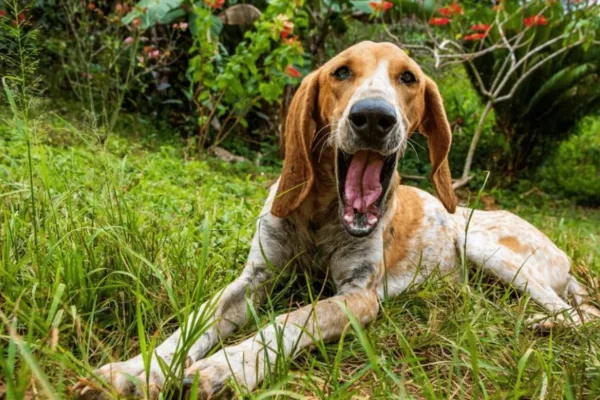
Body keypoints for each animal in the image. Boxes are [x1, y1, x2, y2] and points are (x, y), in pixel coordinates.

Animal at [72, 41, 596, 400]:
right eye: (342, 72)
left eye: (408, 78)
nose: (374, 117)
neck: (322, 214)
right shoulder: (253, 278)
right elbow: (193, 322)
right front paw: (135, 370)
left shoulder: (359, 296)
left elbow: (290, 320)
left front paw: (227, 368)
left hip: (482, 246)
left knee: (578, 314)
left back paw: (543, 325)